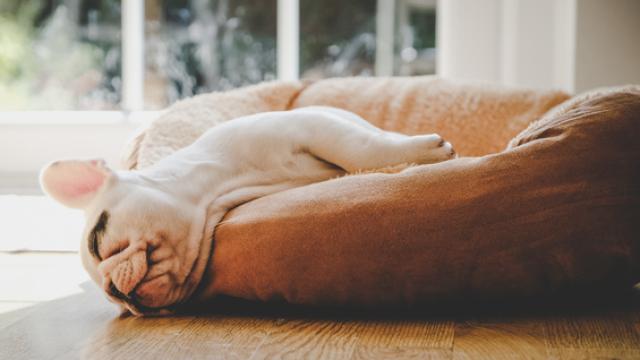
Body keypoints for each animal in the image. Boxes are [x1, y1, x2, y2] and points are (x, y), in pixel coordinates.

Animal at [40, 106, 456, 316]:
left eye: (98, 243)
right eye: (116, 305)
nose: (116, 292)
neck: (218, 187)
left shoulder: (313, 127)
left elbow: (360, 149)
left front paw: (424, 152)